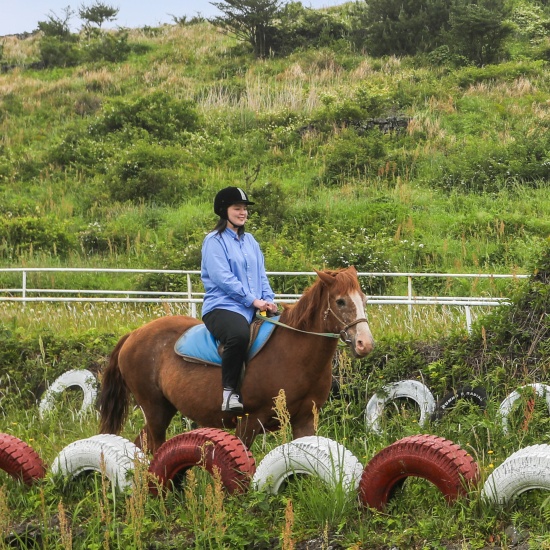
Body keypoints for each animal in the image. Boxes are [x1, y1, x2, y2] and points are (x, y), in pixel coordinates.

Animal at [98, 268, 376, 452]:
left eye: (364, 300)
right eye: (340, 301)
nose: (365, 343)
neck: (294, 354)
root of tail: (134, 334)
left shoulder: (305, 420)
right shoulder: (249, 422)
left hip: (163, 410)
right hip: (155, 410)